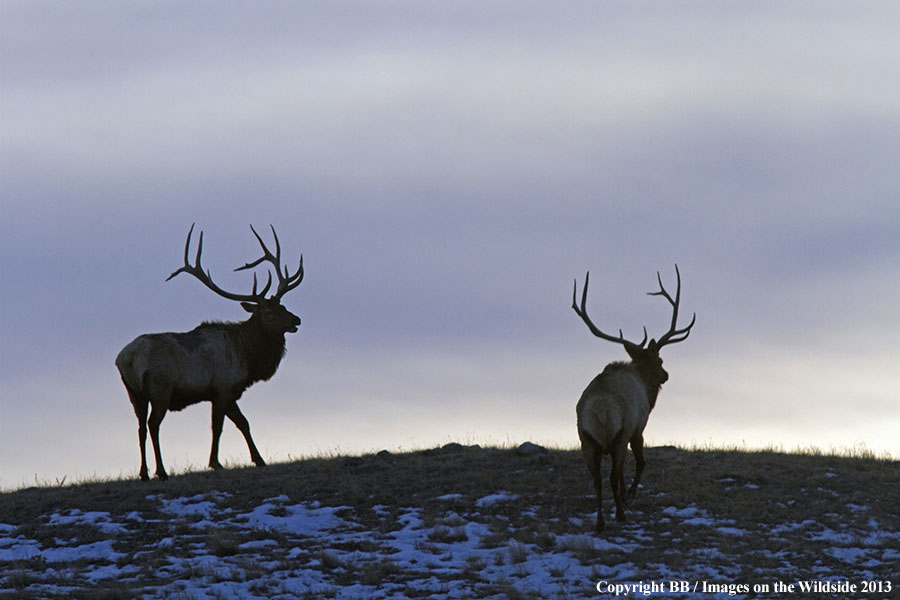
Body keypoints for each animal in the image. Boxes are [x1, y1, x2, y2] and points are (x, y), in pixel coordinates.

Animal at [116, 224, 303, 481]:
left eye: (282, 306)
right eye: (268, 312)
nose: (296, 320)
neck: (247, 356)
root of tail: (126, 358)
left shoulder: (228, 391)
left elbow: (243, 422)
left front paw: (259, 459)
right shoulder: (223, 387)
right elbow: (219, 425)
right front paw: (215, 462)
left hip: (134, 393)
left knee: (141, 427)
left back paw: (144, 473)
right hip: (160, 388)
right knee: (154, 425)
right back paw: (161, 471)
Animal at [572, 265, 695, 531]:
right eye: (660, 360)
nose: (666, 375)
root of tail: (599, 408)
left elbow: (619, 473)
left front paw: (624, 497)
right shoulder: (637, 428)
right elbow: (640, 463)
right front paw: (629, 496)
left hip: (586, 439)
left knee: (597, 479)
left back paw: (600, 521)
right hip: (619, 433)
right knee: (611, 475)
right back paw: (619, 514)